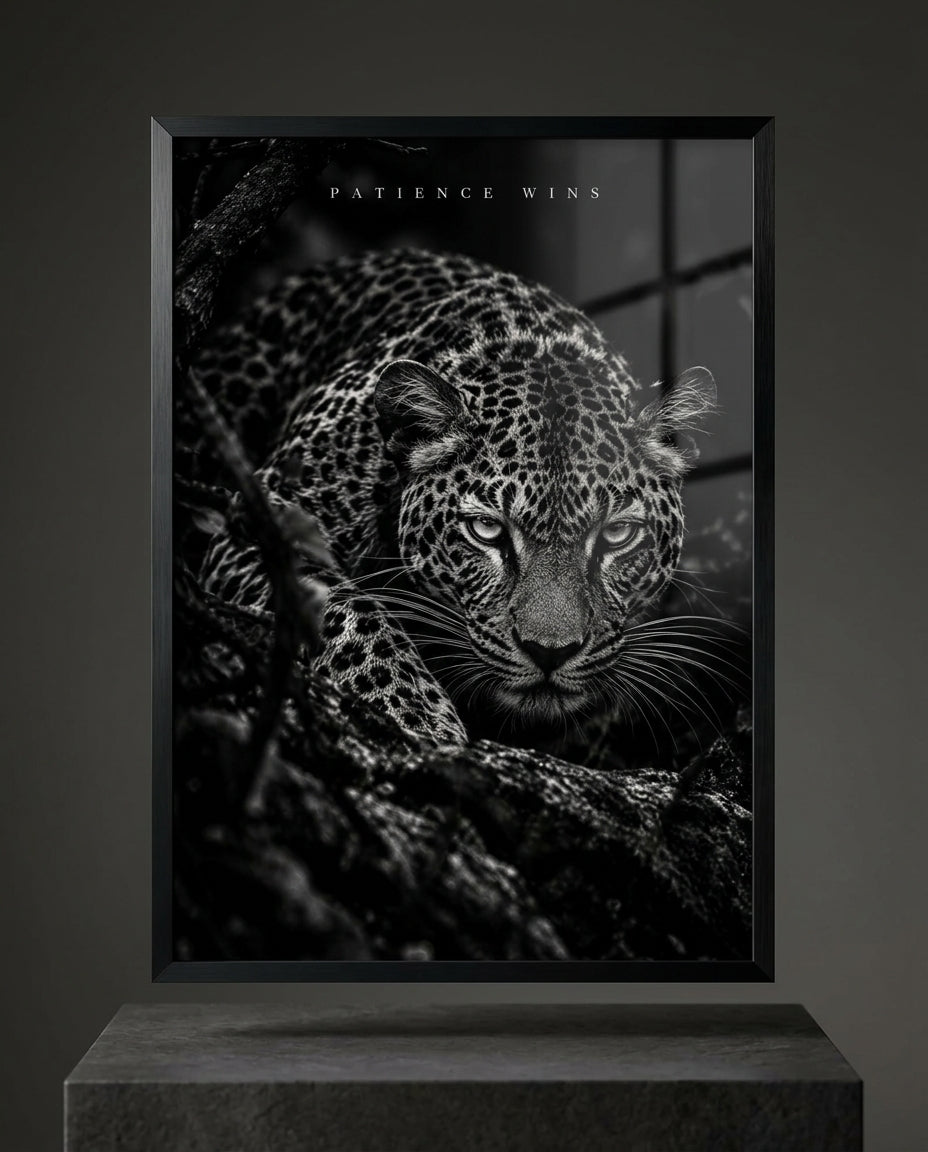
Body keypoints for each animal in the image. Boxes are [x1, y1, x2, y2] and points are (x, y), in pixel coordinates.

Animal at [188, 247, 716, 753]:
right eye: (487, 530)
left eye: (617, 534)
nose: (550, 651)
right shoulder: (257, 523)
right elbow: (345, 607)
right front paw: (417, 717)